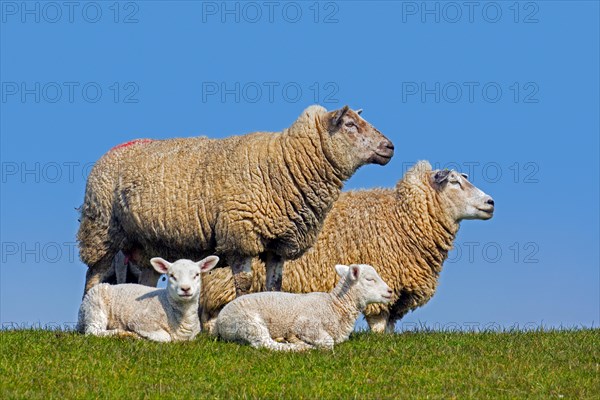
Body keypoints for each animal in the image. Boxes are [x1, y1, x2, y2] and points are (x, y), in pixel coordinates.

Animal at [76, 104, 394, 298]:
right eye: (350, 124)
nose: (390, 146)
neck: (284, 162)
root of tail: (111, 152)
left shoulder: (278, 243)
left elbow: (275, 284)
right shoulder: (240, 234)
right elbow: (244, 283)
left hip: (144, 244)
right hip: (101, 230)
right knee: (94, 274)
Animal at [77, 255, 218, 342]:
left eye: (197, 275)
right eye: (171, 275)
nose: (185, 289)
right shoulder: (140, 322)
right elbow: (166, 338)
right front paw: (139, 336)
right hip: (95, 307)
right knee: (93, 332)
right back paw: (124, 333)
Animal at [199, 161, 494, 332]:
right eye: (455, 181)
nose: (490, 203)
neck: (400, 216)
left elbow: (389, 327)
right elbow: (379, 322)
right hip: (222, 282)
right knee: (212, 315)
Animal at [213, 264, 392, 352]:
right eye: (369, 279)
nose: (390, 291)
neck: (335, 306)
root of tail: (219, 322)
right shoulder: (305, 324)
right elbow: (327, 342)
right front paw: (300, 341)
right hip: (249, 322)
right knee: (264, 344)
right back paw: (299, 346)